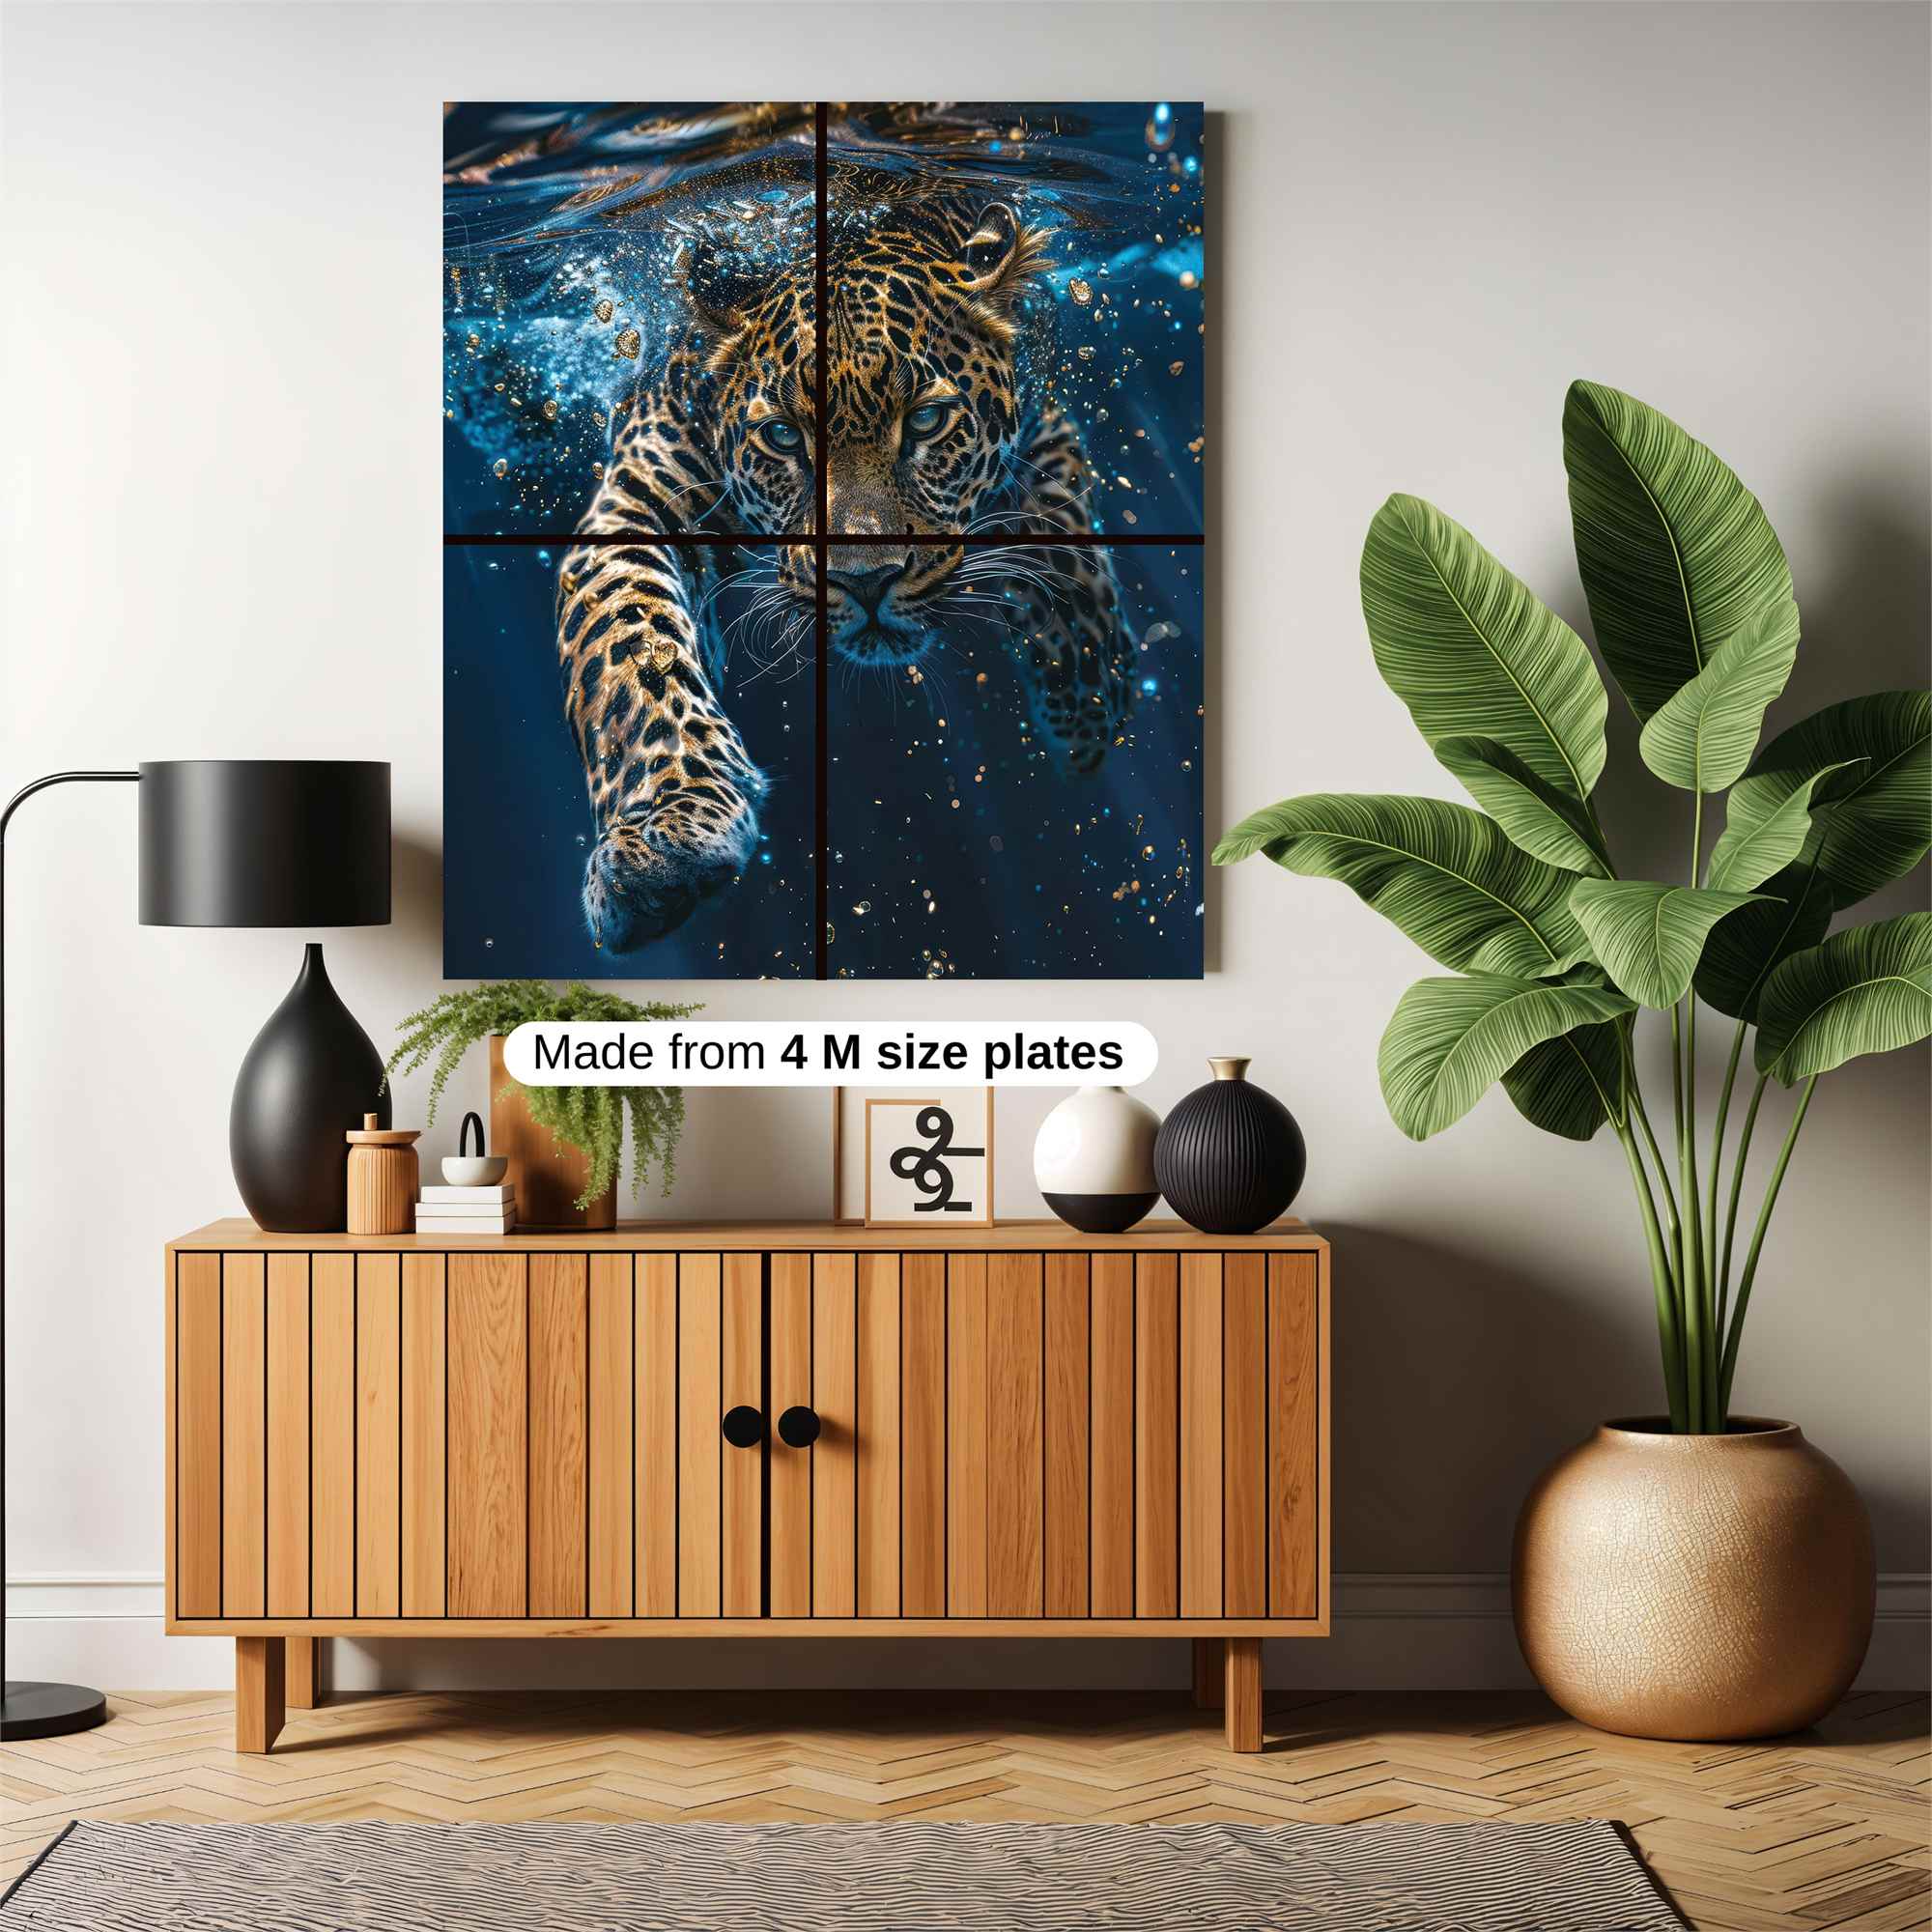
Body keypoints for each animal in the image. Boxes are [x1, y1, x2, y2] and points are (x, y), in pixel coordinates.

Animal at [557, 169, 1136, 954]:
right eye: (781, 436)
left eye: (925, 421)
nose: (864, 580)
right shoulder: (638, 497)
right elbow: (626, 643)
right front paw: (663, 840)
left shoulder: (1042, 401)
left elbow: (1061, 522)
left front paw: (1088, 700)